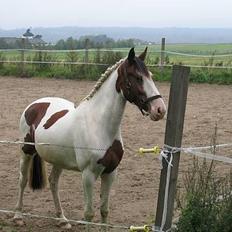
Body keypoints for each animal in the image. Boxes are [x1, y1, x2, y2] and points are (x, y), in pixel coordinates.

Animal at [13, 47, 166, 228]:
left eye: (151, 75)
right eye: (137, 77)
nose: (160, 109)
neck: (99, 126)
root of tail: (34, 105)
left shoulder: (110, 172)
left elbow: (104, 210)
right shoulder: (88, 175)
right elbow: (89, 213)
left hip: (58, 159)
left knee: (53, 183)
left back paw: (62, 219)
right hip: (26, 151)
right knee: (22, 180)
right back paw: (18, 216)